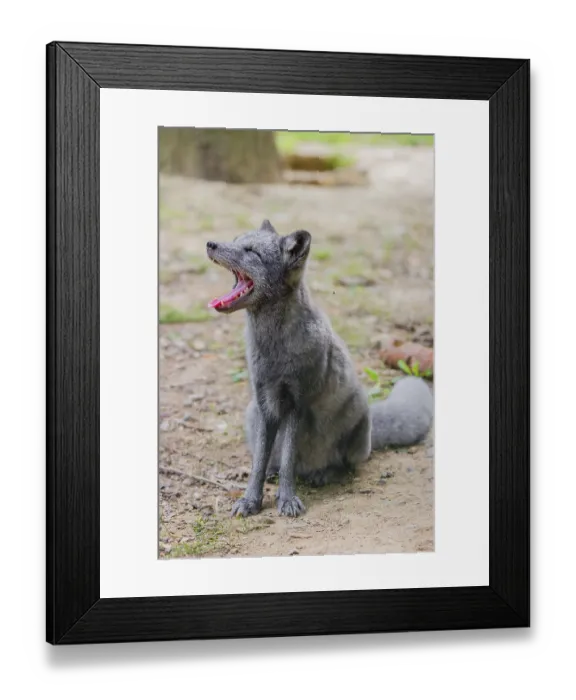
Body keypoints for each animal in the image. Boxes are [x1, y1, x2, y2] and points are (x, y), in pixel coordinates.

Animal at [206, 219, 434, 518]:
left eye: (251, 251)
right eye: (234, 241)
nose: (210, 244)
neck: (273, 348)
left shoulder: (296, 403)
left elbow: (289, 460)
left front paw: (287, 499)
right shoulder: (266, 404)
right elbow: (259, 463)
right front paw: (250, 500)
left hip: (356, 413)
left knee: (346, 465)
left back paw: (325, 474)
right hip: (251, 414)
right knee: (272, 462)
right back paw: (274, 473)